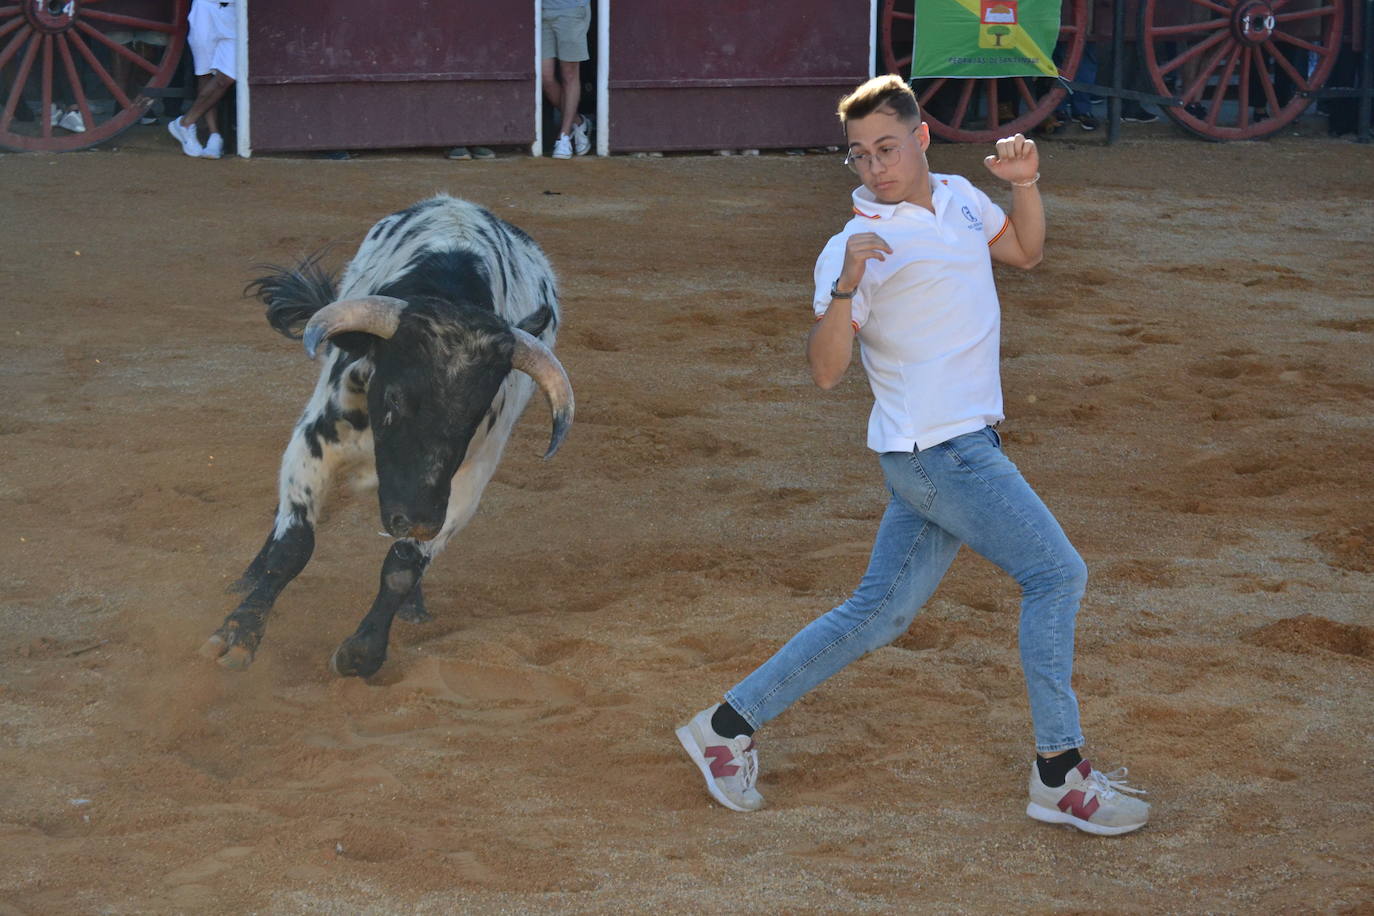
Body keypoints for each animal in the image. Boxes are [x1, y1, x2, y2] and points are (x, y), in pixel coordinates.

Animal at [200, 195, 571, 681]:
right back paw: (248, 576)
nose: (415, 520)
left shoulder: (464, 485)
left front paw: (364, 651)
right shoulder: (314, 443)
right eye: (394, 398)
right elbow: (293, 544)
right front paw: (239, 633)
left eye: (476, 412)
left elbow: (402, 567)